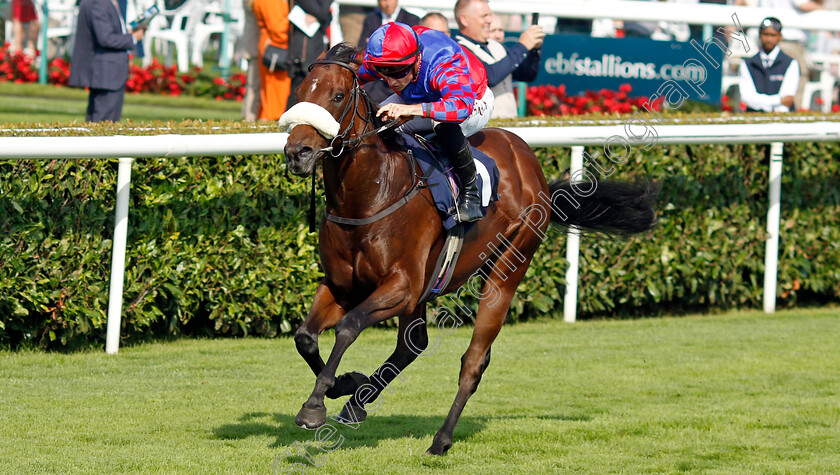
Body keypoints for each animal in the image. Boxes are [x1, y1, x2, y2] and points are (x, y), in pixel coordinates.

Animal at [282, 43, 656, 458]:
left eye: (337, 96)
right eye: (299, 92)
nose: (297, 152)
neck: (371, 194)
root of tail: (531, 164)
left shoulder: (401, 287)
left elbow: (348, 327)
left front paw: (314, 406)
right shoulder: (342, 286)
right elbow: (305, 336)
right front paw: (344, 383)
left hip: (506, 269)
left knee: (473, 361)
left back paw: (441, 439)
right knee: (413, 345)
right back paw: (357, 403)